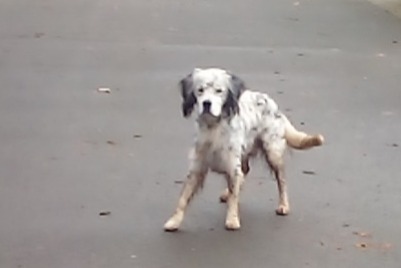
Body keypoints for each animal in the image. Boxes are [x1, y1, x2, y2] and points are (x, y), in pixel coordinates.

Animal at [164, 67, 324, 230]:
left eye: (219, 91)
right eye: (200, 90)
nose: (206, 103)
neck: (213, 127)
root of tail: (273, 105)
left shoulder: (231, 165)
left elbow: (234, 196)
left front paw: (232, 220)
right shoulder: (197, 167)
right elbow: (183, 198)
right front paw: (174, 221)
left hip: (272, 153)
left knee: (281, 180)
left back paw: (283, 205)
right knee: (245, 171)